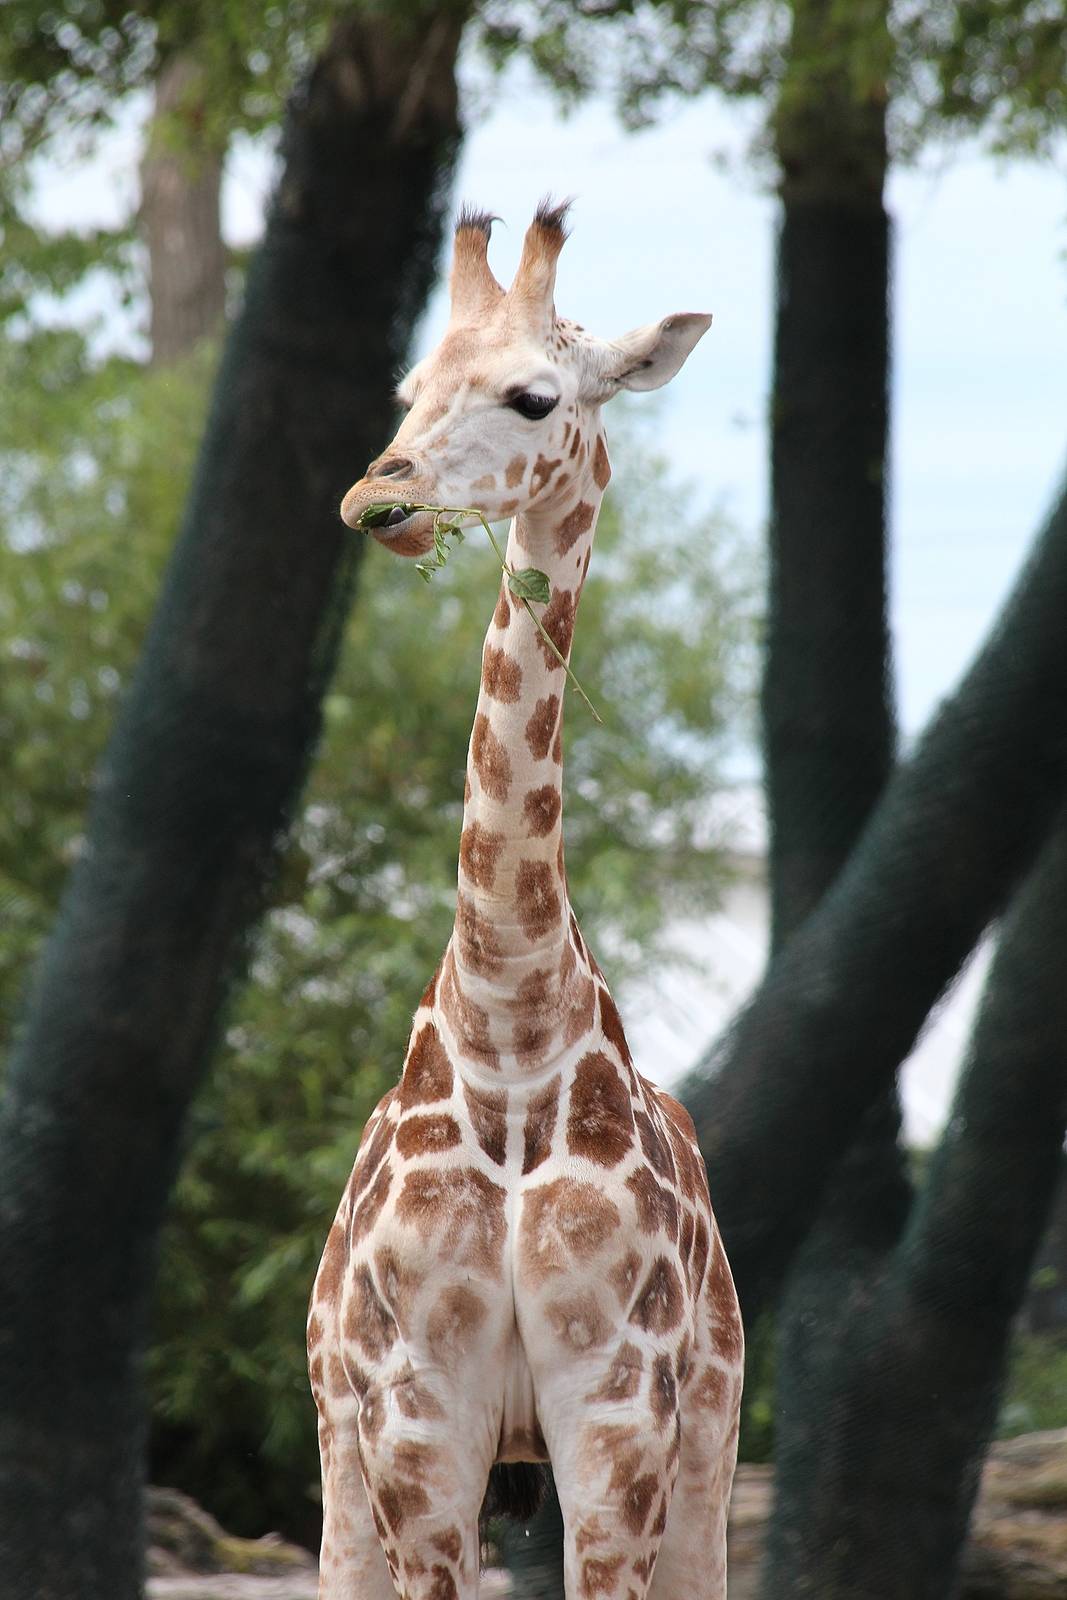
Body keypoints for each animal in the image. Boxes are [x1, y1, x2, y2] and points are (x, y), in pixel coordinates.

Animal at [308, 200, 743, 1600]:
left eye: (532, 394)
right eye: (410, 386)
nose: (377, 498)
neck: (506, 1016)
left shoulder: (620, 1412)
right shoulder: (408, 1415)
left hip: (709, 1431)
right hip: (338, 1440)